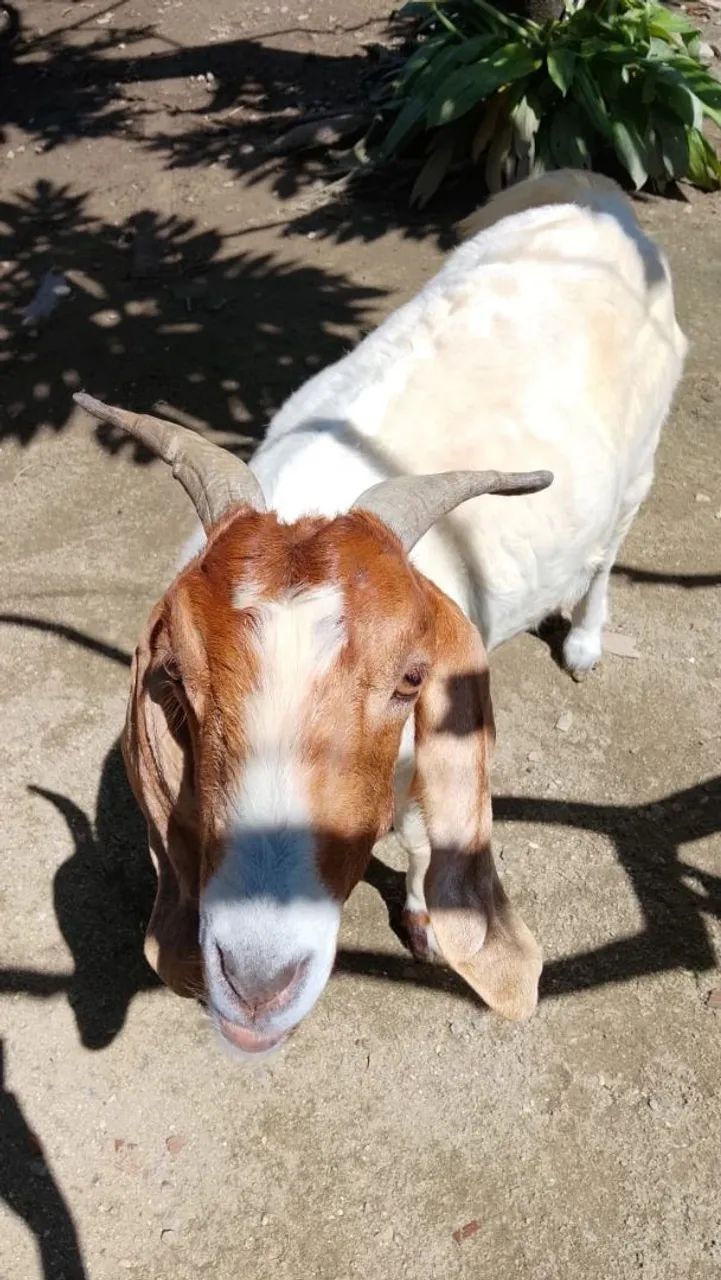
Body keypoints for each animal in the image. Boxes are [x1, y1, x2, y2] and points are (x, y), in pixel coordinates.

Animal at [76, 170, 686, 1057]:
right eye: (175, 685)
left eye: (408, 681)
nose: (257, 985)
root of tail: (592, 194)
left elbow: (425, 828)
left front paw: (430, 921)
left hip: (639, 465)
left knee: (609, 548)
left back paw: (583, 641)